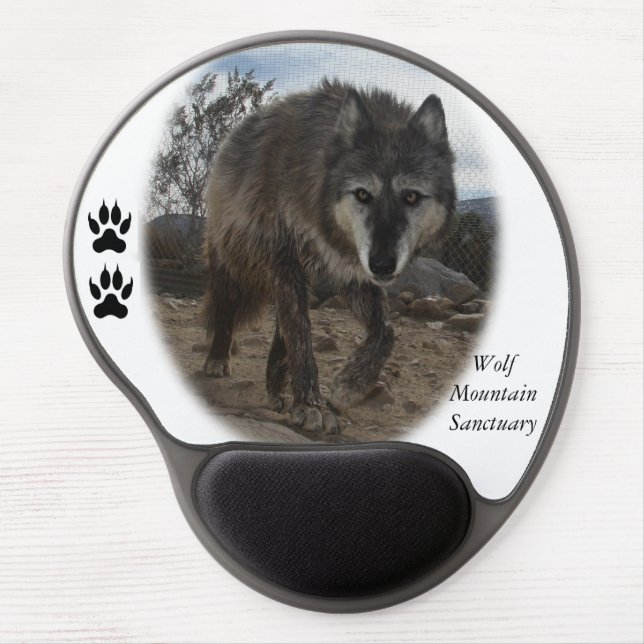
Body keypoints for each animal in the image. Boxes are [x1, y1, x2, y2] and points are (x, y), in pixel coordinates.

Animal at [203, 77, 455, 433]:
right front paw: (311, 405)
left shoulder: (352, 272)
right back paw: (218, 359)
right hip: (234, 262)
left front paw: (349, 386)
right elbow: (302, 338)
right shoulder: (286, 260)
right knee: (227, 308)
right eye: (362, 194)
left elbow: (386, 332)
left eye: (411, 197)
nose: (383, 264)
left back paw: (276, 385)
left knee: (283, 327)